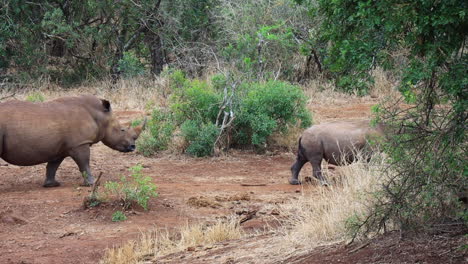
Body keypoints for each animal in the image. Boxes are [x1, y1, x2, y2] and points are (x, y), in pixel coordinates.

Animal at [0, 95, 146, 188]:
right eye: (122, 130)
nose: (133, 147)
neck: (99, 116)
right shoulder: (80, 143)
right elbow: (84, 163)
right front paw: (93, 183)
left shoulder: (60, 148)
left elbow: (53, 165)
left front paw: (51, 185)